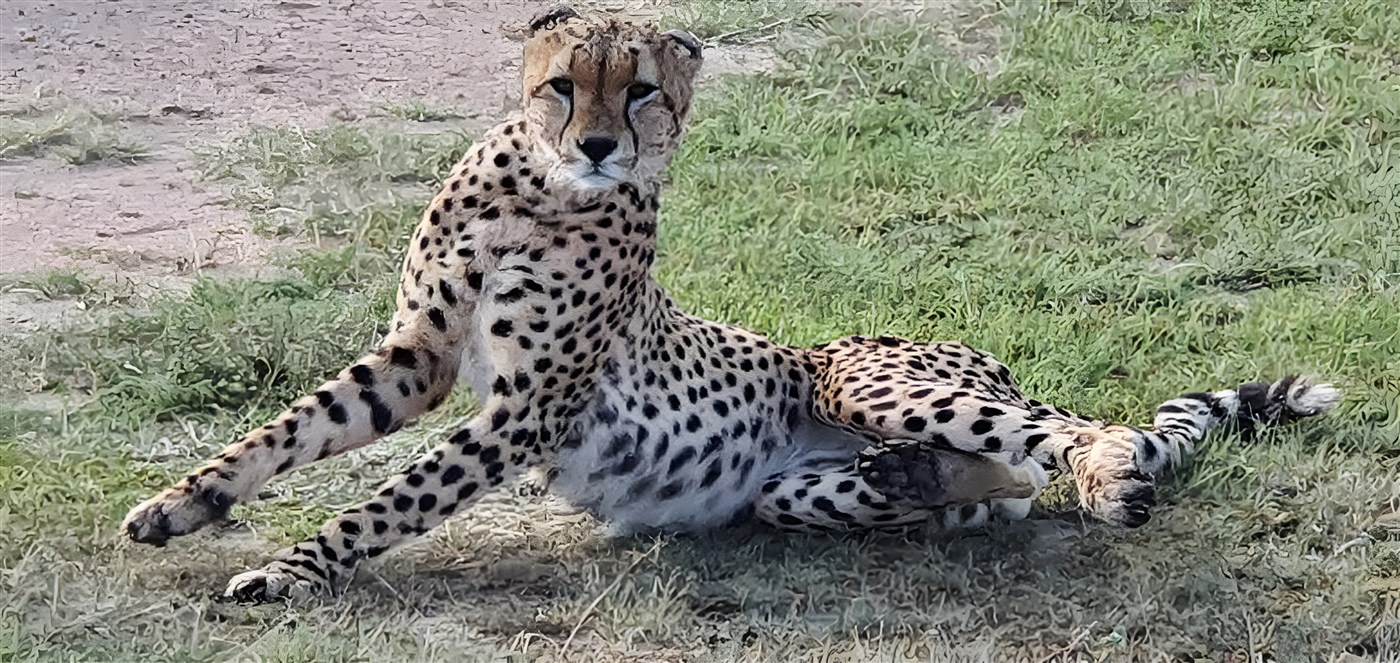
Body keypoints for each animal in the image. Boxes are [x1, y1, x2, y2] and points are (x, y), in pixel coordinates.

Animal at [121, 6, 1341, 602]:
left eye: (640, 92)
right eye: (563, 86)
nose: (600, 143)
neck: (535, 186)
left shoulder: (527, 407)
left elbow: (391, 497)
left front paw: (293, 568)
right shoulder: (416, 358)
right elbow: (284, 433)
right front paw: (181, 506)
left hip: (869, 376)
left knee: (1073, 437)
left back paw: (1111, 480)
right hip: (789, 492)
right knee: (990, 480)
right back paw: (912, 478)